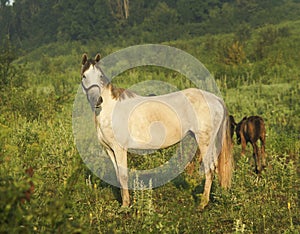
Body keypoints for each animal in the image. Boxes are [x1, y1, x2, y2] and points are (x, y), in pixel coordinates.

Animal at [81, 54, 233, 209]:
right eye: (84, 76)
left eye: (100, 76)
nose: (97, 100)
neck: (110, 110)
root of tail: (216, 99)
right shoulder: (109, 149)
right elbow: (118, 176)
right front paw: (124, 201)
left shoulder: (120, 148)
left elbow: (123, 176)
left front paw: (125, 206)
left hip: (204, 142)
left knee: (209, 169)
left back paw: (202, 203)